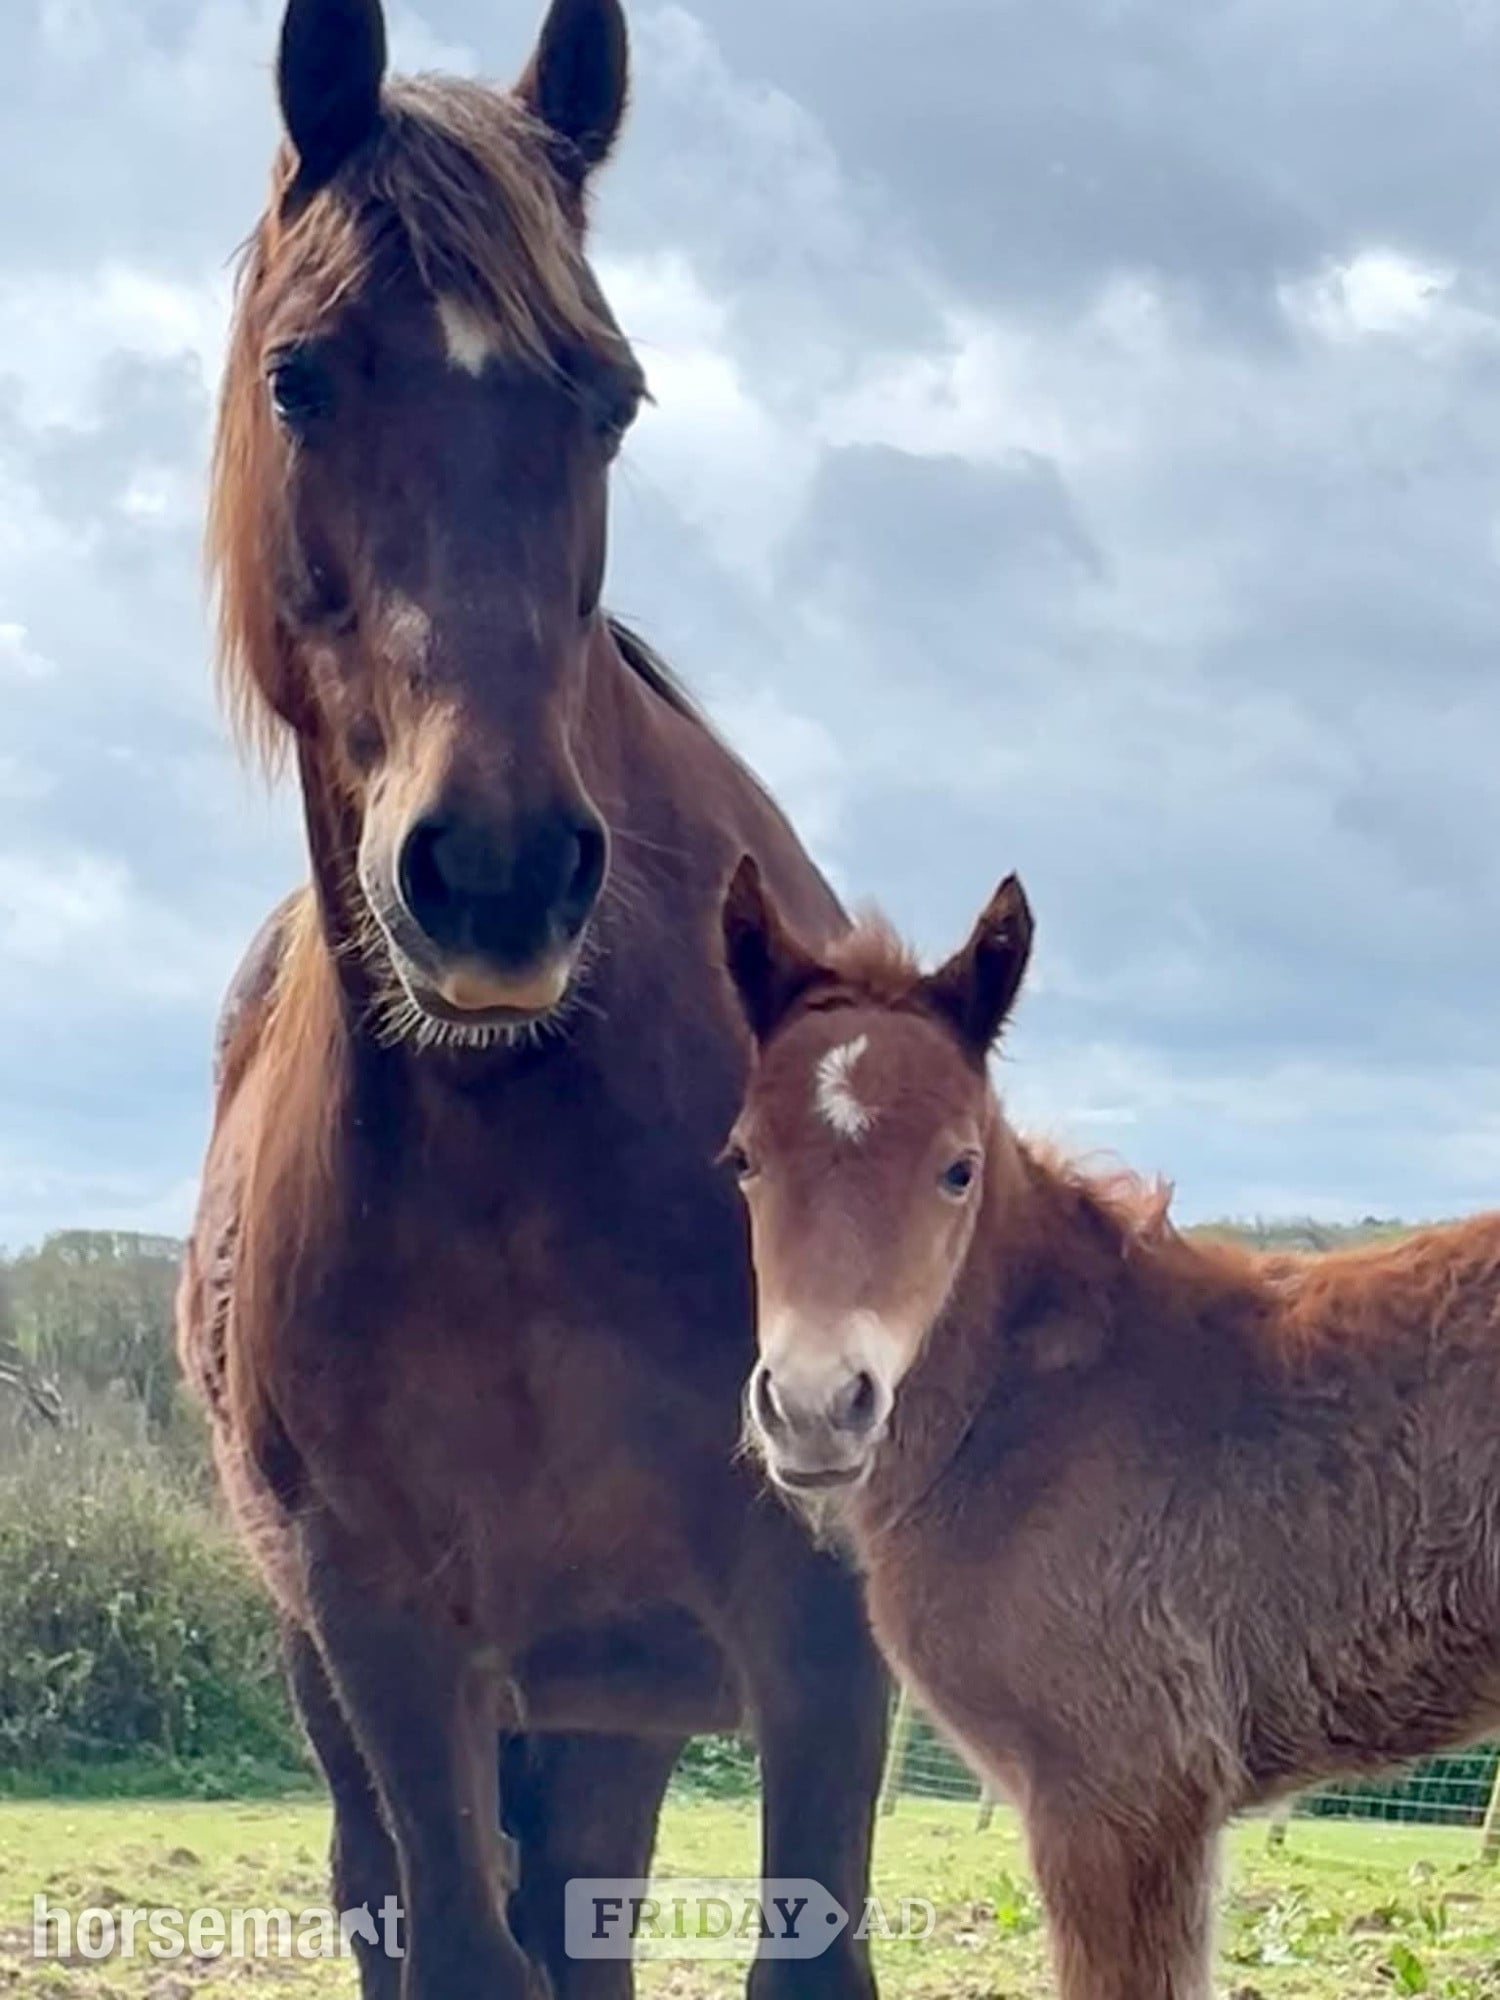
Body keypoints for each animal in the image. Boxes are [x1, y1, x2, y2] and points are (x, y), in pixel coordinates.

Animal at [174, 5, 888, 1997]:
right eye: (300, 380)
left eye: (609, 398)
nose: (492, 876)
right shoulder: (391, 1640)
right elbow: (458, 1945)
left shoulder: (816, 1638)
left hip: (612, 1708)